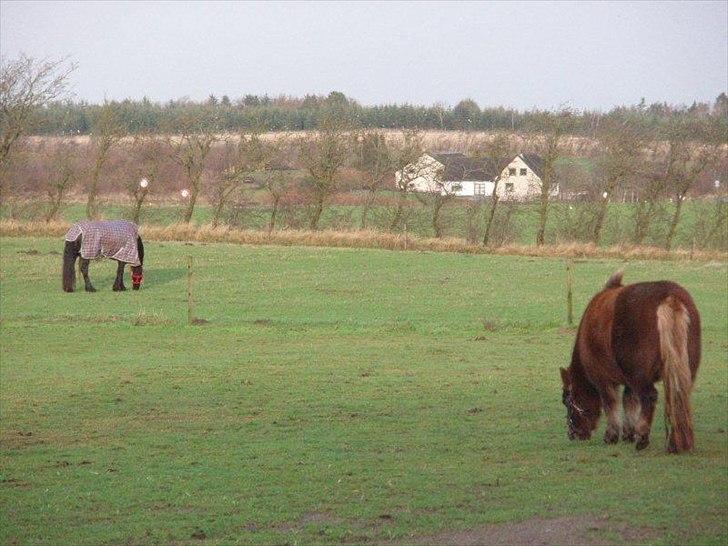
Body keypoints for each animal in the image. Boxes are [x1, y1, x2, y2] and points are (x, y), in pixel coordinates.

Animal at [560, 270, 704, 452]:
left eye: (567, 401)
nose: (572, 434)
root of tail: (670, 298)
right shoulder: (629, 381)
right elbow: (629, 402)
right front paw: (628, 433)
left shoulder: (603, 380)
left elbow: (611, 404)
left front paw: (612, 435)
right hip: (681, 371)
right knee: (678, 397)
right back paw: (675, 442)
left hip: (640, 375)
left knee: (650, 397)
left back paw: (643, 438)